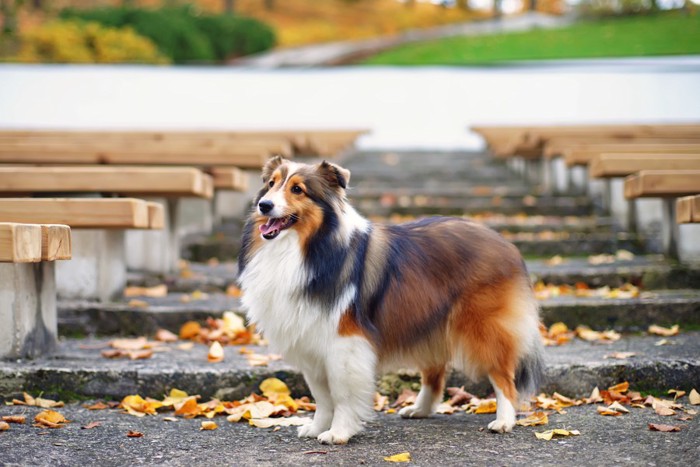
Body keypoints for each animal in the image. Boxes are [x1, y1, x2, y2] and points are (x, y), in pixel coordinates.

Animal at [238, 155, 544, 444]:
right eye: (271, 184)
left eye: (297, 189)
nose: (264, 205)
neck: (309, 247)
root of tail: (504, 242)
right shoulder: (310, 340)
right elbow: (322, 396)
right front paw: (316, 428)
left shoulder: (344, 342)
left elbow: (341, 393)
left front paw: (338, 432)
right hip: (430, 322)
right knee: (435, 372)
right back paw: (419, 409)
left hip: (483, 329)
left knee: (503, 377)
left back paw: (504, 421)